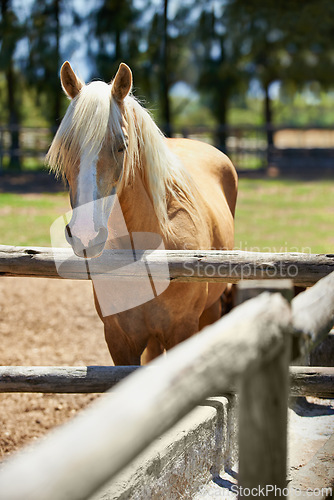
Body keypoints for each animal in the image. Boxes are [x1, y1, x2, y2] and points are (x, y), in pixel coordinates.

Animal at [48, 62, 239, 366]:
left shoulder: (181, 330)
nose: (85, 235)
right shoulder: (119, 340)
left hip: (209, 314)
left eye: (122, 146)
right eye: (67, 146)